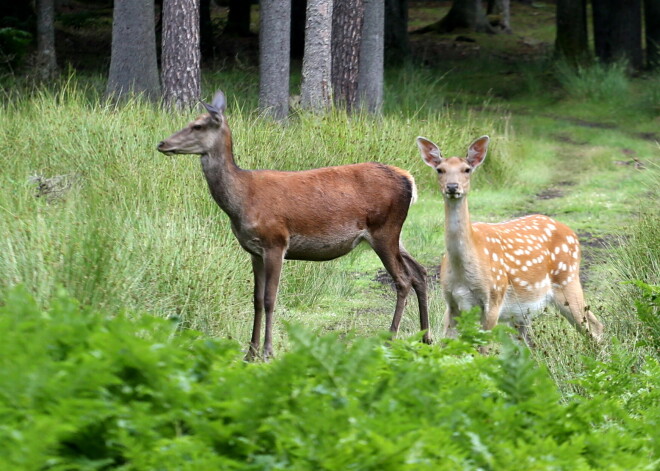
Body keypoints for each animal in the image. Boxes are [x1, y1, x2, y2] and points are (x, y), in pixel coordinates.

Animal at [157, 90, 430, 360]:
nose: (162, 144)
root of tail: (409, 179)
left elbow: (270, 299)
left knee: (403, 280)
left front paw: (268, 352)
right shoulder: (253, 251)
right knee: (419, 272)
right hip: (395, 235)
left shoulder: (276, 242)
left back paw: (390, 339)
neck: (241, 201)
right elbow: (256, 299)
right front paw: (250, 353)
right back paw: (426, 337)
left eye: (197, 125)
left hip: (384, 230)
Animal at [418, 135, 604, 344]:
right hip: (522, 313)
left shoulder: (494, 298)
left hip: (568, 280)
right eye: (440, 169)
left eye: (466, 169)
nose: (452, 187)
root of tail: (572, 234)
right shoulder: (452, 303)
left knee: (595, 326)